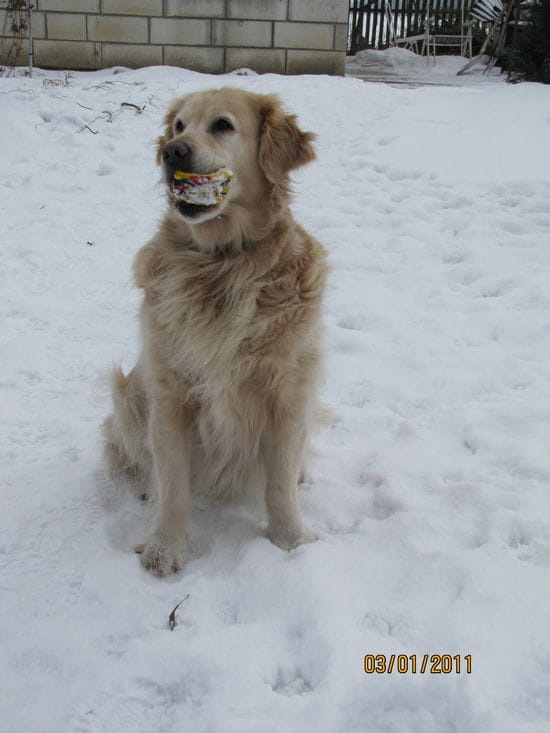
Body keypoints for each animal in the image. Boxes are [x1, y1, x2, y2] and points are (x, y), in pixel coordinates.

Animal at [102, 88, 328, 576]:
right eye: (179, 127)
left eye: (222, 125)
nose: (172, 152)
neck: (224, 262)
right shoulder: (169, 393)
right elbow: (172, 484)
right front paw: (164, 548)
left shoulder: (287, 393)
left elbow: (280, 482)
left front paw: (290, 540)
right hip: (128, 394)